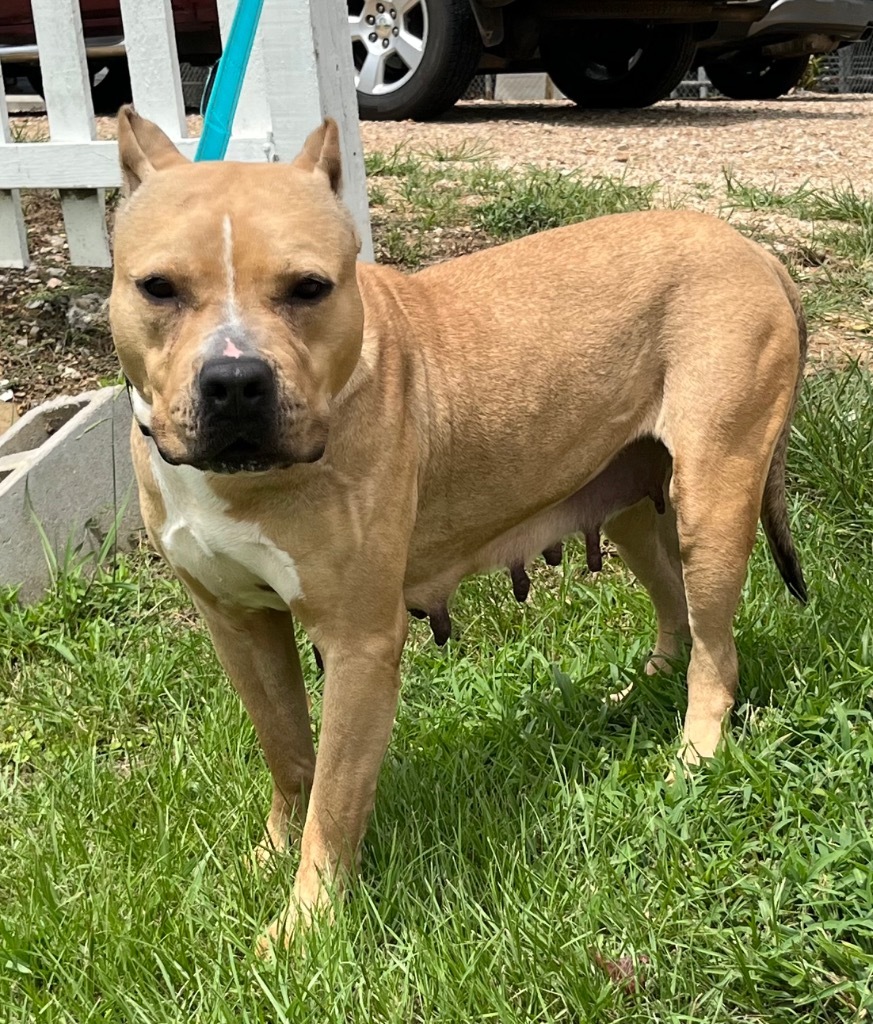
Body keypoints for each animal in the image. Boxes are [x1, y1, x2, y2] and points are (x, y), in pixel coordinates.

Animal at [110, 108, 810, 946]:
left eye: (309, 289)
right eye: (159, 288)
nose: (236, 381)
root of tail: (748, 247)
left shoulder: (359, 644)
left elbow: (335, 803)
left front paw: (305, 926)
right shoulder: (237, 623)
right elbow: (287, 753)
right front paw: (268, 857)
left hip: (715, 498)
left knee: (716, 651)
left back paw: (693, 754)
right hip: (633, 506)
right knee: (674, 607)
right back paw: (641, 689)